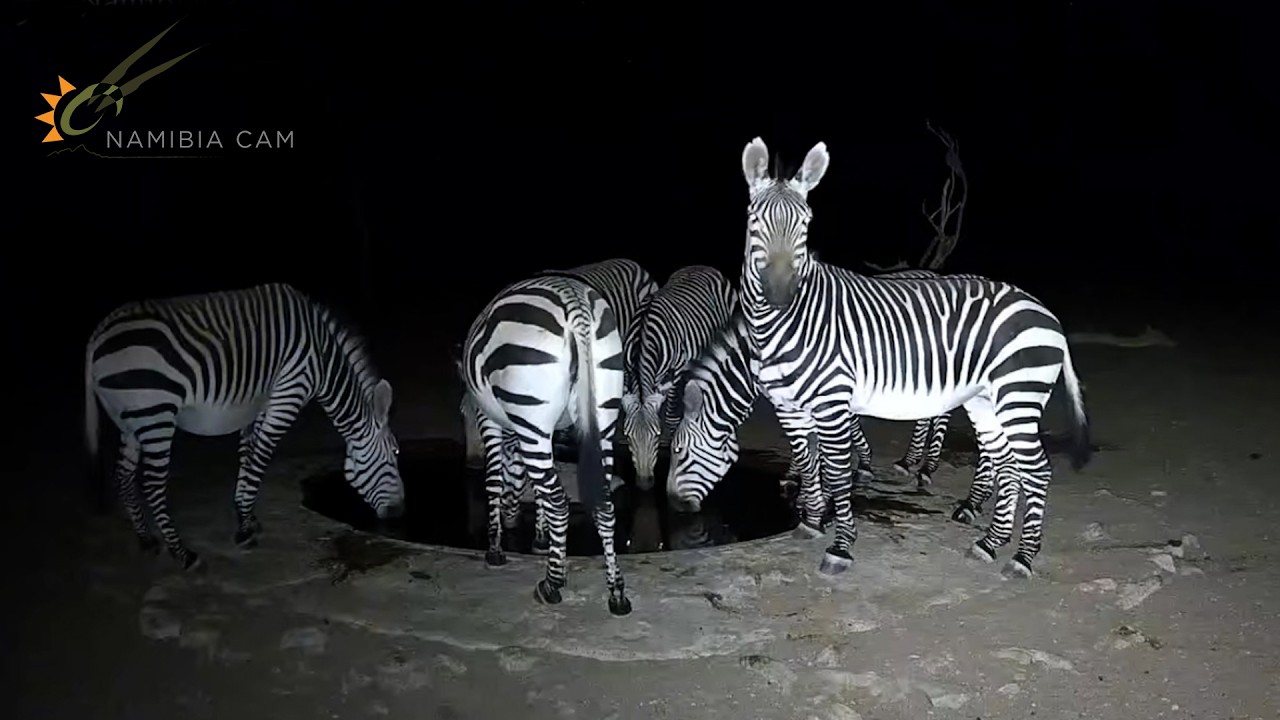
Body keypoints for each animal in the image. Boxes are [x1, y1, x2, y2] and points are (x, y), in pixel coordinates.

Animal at [85, 283, 405, 571]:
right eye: (395, 453)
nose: (400, 512)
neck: (323, 359)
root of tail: (97, 335)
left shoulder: (262, 404)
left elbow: (248, 456)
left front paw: (246, 517)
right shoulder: (289, 394)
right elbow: (260, 459)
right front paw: (244, 532)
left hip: (130, 421)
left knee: (123, 476)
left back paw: (146, 540)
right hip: (156, 414)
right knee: (152, 484)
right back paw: (184, 555)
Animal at [458, 274, 631, 615]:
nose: (513, 520)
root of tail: (574, 300)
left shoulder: (489, 419)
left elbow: (494, 481)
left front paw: (495, 548)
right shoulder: (540, 433)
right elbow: (539, 491)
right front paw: (541, 537)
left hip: (531, 412)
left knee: (561, 503)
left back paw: (551, 585)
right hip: (603, 417)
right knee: (602, 504)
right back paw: (616, 592)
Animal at [622, 265, 737, 491]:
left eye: (657, 435)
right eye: (628, 437)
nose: (644, 485)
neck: (643, 336)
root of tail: (702, 266)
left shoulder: (677, 371)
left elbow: (672, 418)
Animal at [736, 136, 1090, 579]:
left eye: (806, 224)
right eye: (754, 221)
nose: (782, 295)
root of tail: (1045, 311)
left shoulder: (831, 402)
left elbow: (836, 470)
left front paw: (840, 546)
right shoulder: (789, 405)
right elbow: (807, 458)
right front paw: (811, 522)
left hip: (1018, 395)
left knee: (1036, 470)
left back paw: (1022, 557)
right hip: (986, 401)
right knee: (1007, 465)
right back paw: (989, 543)